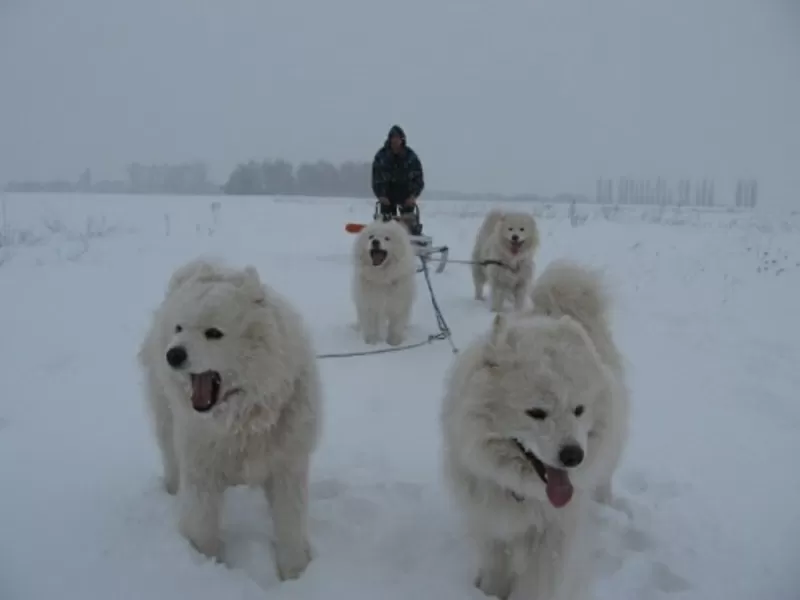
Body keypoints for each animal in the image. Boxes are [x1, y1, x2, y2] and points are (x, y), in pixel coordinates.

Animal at [138, 258, 322, 580]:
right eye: (179, 328)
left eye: (213, 333)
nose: (173, 355)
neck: (243, 418)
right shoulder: (201, 471)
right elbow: (203, 527)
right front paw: (208, 566)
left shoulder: (287, 468)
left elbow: (290, 525)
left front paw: (295, 574)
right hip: (167, 424)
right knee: (171, 460)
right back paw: (172, 490)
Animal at [440, 262, 628, 600]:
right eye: (536, 413)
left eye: (579, 410)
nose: (573, 456)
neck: (523, 491)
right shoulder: (493, 526)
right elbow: (496, 572)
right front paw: (489, 591)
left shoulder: (553, 535)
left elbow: (537, 584)